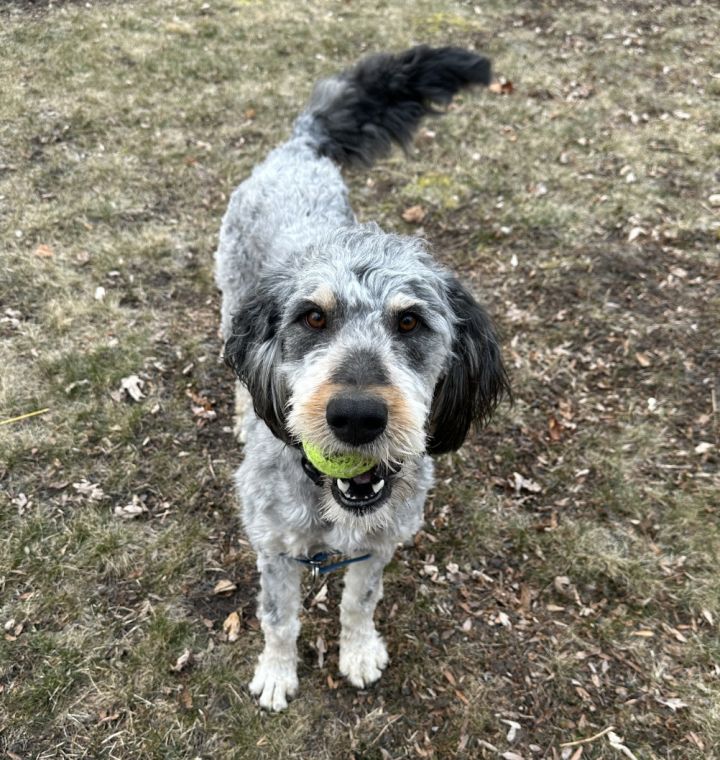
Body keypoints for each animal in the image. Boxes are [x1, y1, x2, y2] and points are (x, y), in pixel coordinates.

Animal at [215, 46, 512, 712]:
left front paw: (356, 652)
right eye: (312, 317)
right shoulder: (274, 547)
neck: (331, 500)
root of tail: (299, 148)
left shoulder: (379, 541)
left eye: (410, 321)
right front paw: (277, 672)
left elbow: (359, 601)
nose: (356, 417)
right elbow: (279, 618)